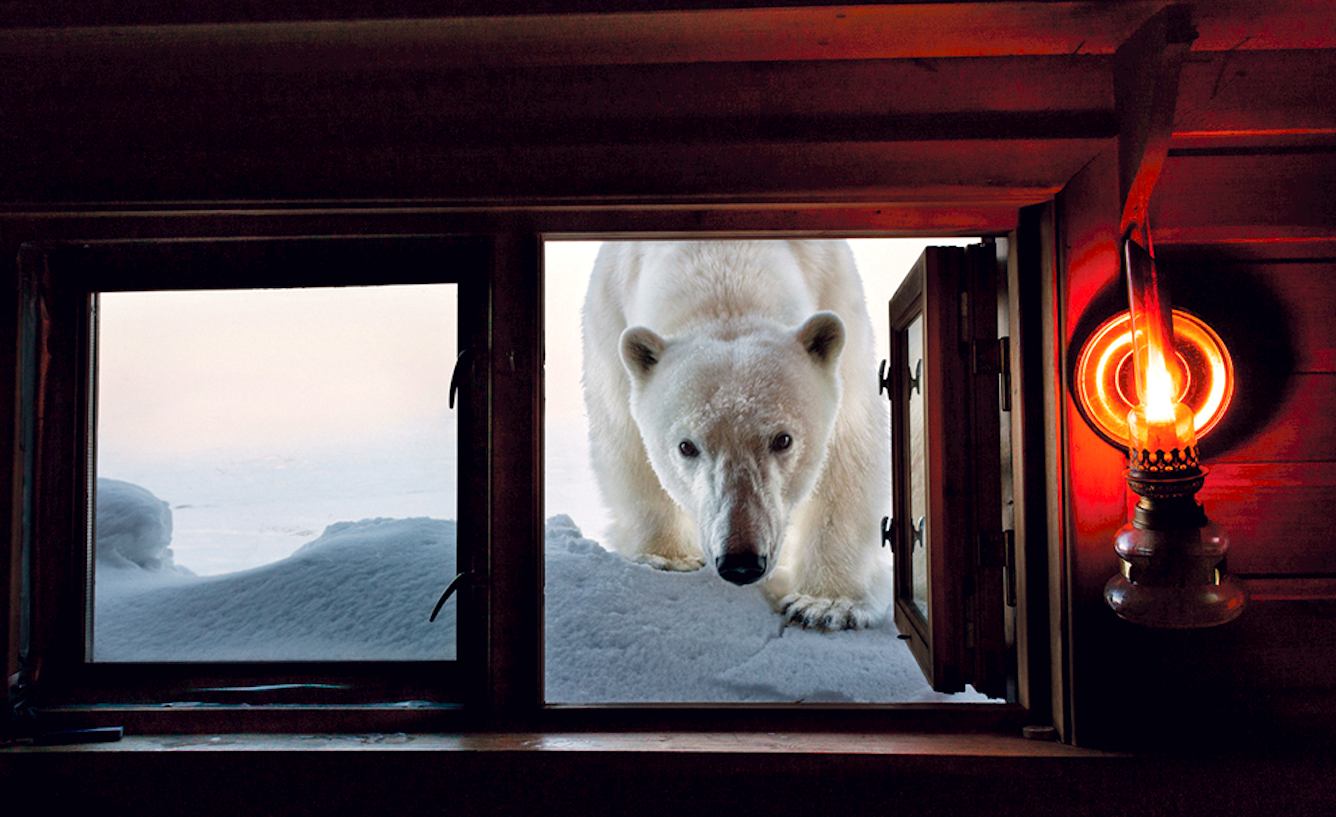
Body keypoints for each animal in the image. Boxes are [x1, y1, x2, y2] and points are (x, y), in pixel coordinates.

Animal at [582, 238, 887, 627]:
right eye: (686, 446)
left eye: (783, 439)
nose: (741, 562)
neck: (721, 256)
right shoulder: (609, 322)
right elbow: (626, 442)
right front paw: (668, 557)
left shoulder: (837, 295)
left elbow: (847, 452)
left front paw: (825, 604)